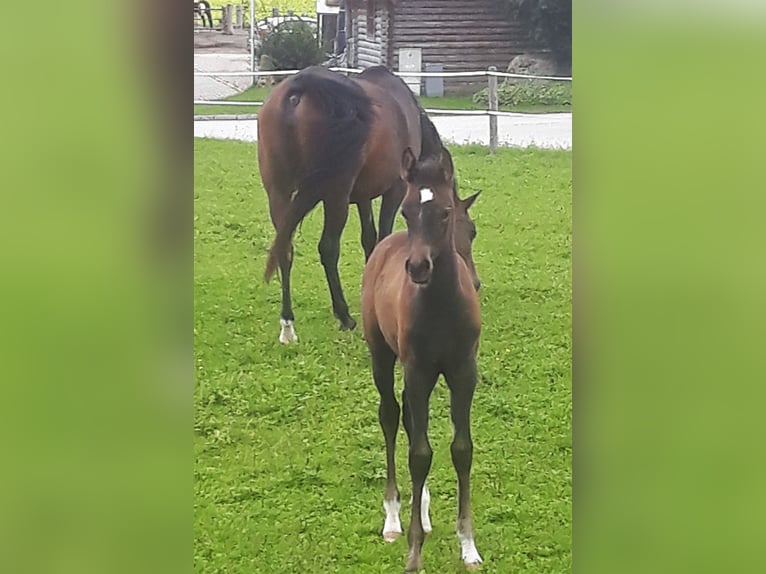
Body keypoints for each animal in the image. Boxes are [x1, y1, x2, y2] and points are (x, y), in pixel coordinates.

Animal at [260, 65, 444, 344]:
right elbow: (383, 238)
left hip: (279, 193)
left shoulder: (363, 196)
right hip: (335, 195)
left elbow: (369, 238)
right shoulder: (395, 189)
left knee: (284, 249)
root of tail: (299, 89)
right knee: (328, 248)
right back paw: (344, 316)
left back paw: (287, 326)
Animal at [364, 148, 484, 572]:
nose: (417, 267)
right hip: (383, 356)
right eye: (406, 210)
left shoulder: (463, 372)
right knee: (390, 415)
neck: (443, 305)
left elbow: (461, 449)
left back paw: (425, 510)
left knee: (412, 422)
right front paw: (414, 552)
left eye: (446, 212)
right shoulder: (417, 372)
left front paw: (469, 545)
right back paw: (394, 518)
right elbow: (419, 455)